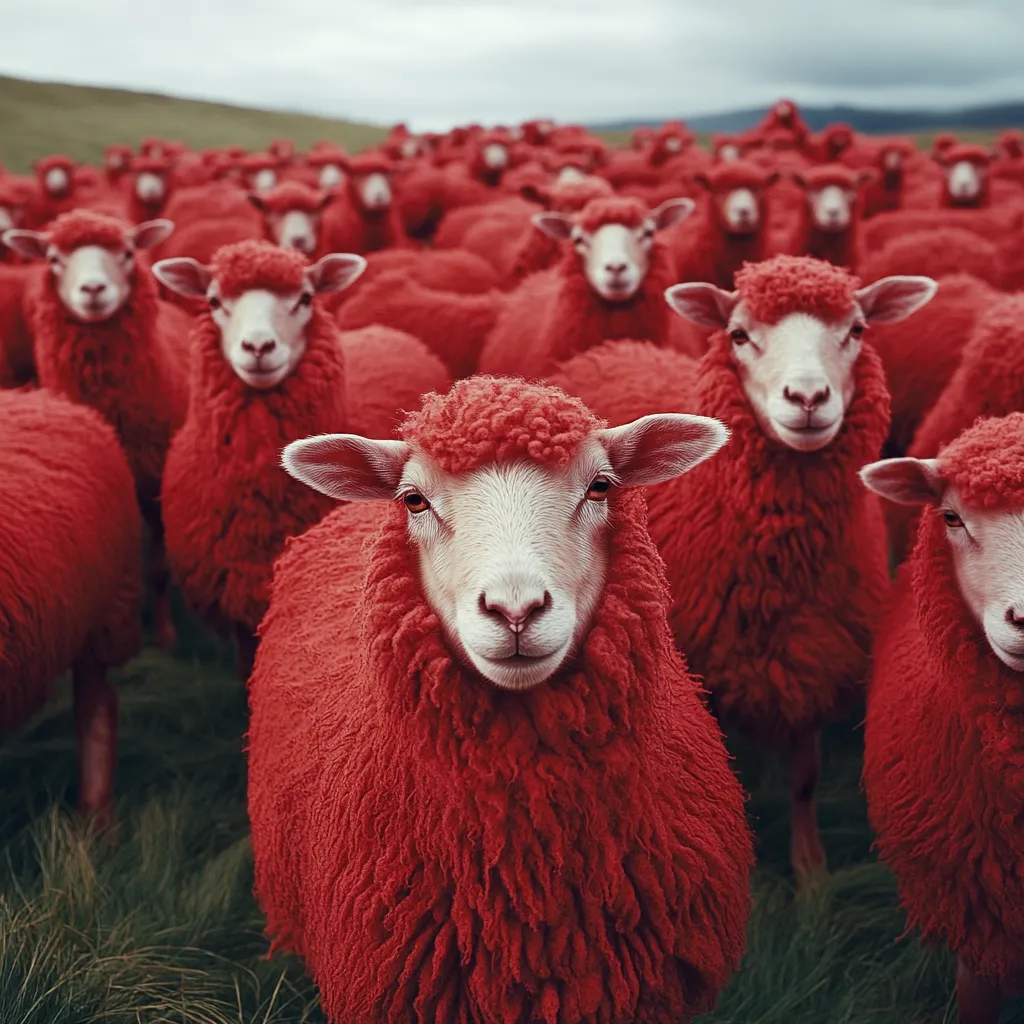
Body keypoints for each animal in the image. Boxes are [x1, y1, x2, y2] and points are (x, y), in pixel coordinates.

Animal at [4, 211, 190, 649]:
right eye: (53, 258)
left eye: (127, 253)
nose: (92, 289)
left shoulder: (157, 484)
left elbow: (158, 570)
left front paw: (164, 633)